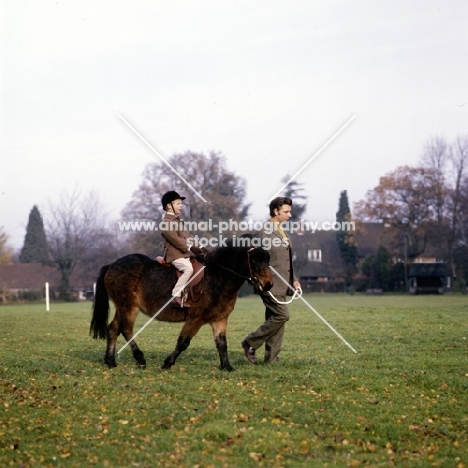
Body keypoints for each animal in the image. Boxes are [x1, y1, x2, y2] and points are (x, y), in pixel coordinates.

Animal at [89, 239, 272, 372]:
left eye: (267, 260)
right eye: (255, 261)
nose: (268, 284)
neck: (218, 277)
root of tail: (112, 265)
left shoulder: (219, 319)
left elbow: (222, 344)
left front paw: (227, 367)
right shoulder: (195, 319)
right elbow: (183, 342)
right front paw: (167, 363)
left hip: (122, 307)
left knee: (113, 328)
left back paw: (110, 361)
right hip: (129, 307)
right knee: (126, 329)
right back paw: (140, 359)